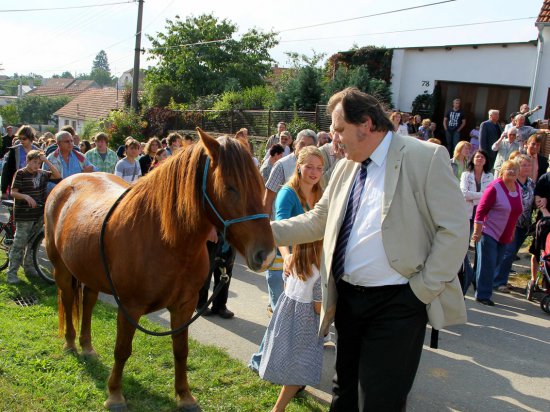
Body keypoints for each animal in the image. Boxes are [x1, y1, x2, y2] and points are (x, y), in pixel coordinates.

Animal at [44, 128, 276, 408]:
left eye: (260, 183)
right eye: (229, 187)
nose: (266, 254)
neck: (166, 241)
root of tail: (67, 182)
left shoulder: (184, 305)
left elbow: (181, 350)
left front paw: (184, 396)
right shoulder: (130, 307)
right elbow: (122, 349)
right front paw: (115, 394)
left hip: (90, 273)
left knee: (87, 301)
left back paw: (87, 346)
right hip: (61, 268)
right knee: (68, 299)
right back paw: (70, 344)